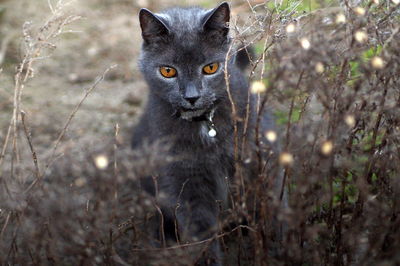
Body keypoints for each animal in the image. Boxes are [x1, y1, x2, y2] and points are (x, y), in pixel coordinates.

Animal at [132, 2, 284, 266]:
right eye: (168, 71)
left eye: (210, 68)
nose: (192, 96)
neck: (206, 125)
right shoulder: (185, 179)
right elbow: (200, 226)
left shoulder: (259, 160)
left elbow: (267, 205)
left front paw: (272, 247)